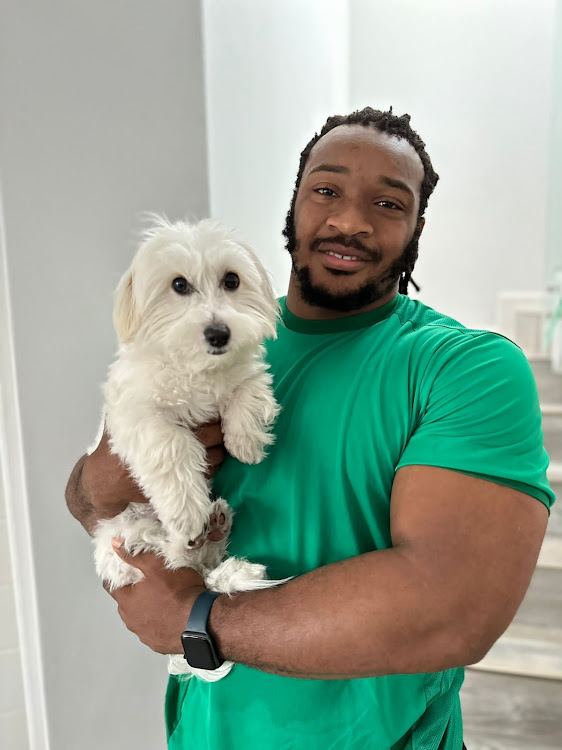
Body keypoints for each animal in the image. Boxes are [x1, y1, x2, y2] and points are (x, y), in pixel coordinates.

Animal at [89, 216, 282, 680]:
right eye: (179, 285)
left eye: (232, 280)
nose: (219, 332)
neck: (198, 370)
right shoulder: (137, 413)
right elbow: (171, 445)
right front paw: (187, 507)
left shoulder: (246, 373)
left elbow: (249, 390)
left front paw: (247, 440)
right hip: (123, 534)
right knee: (169, 553)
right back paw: (194, 530)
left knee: (198, 565)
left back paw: (215, 530)